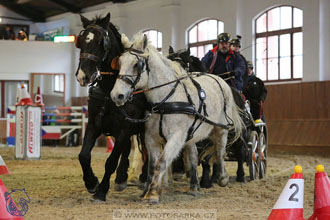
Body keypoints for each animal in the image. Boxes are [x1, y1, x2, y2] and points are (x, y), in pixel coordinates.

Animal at [75, 12, 148, 201]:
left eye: (101, 41)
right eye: (81, 41)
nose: (83, 76)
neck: (109, 90)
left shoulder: (125, 126)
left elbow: (111, 161)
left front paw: (101, 190)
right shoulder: (94, 123)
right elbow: (83, 155)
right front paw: (92, 182)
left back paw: (144, 177)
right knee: (128, 147)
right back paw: (122, 178)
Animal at [168, 46, 248, 187]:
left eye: (183, 65)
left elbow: (206, 158)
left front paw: (204, 181)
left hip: (238, 134)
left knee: (240, 153)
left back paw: (240, 176)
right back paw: (215, 177)